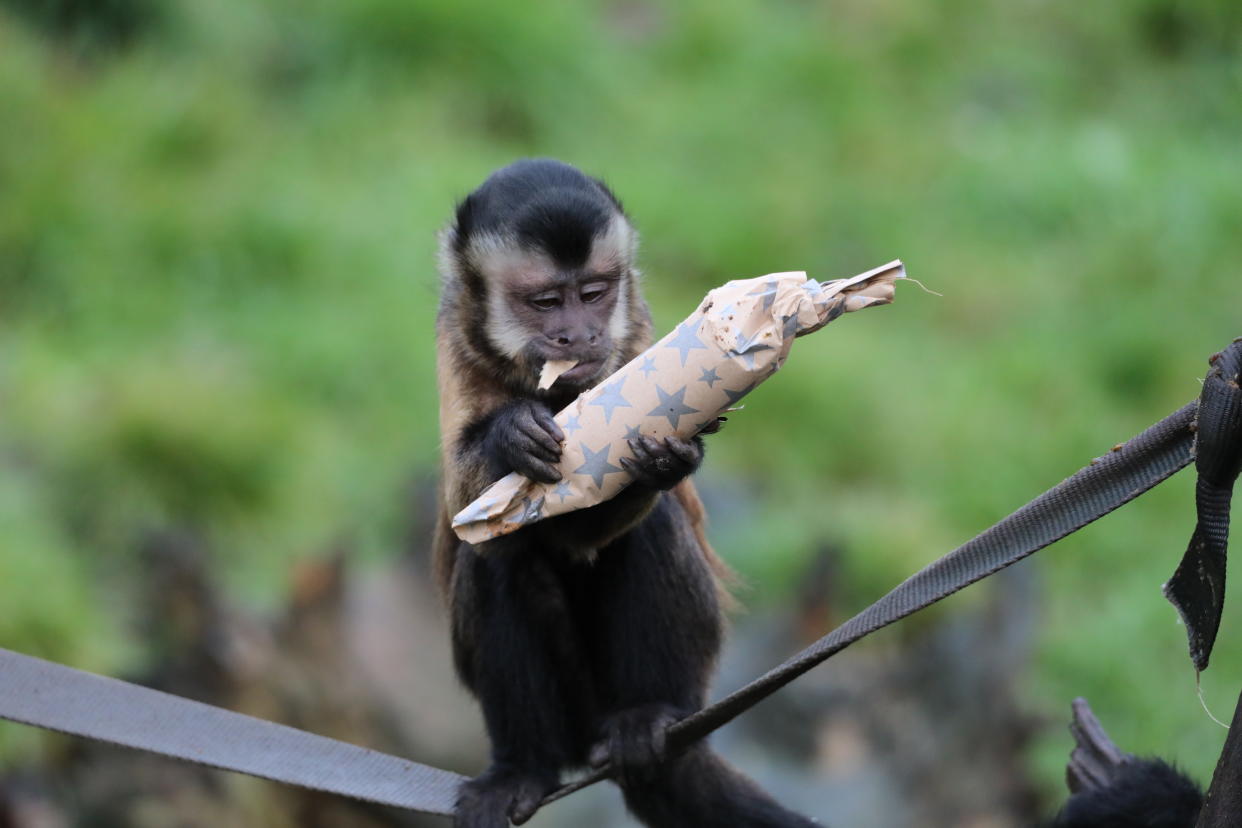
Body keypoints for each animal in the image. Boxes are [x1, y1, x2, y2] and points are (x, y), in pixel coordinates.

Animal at [432, 157, 819, 828]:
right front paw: (510, 437)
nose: (578, 335)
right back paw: (524, 767)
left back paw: (647, 716)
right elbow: (469, 512)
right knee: (501, 556)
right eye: (546, 302)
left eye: (593, 294)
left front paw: (663, 463)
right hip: (572, 714)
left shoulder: (637, 338)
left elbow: (593, 527)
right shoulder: (455, 342)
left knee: (648, 529)